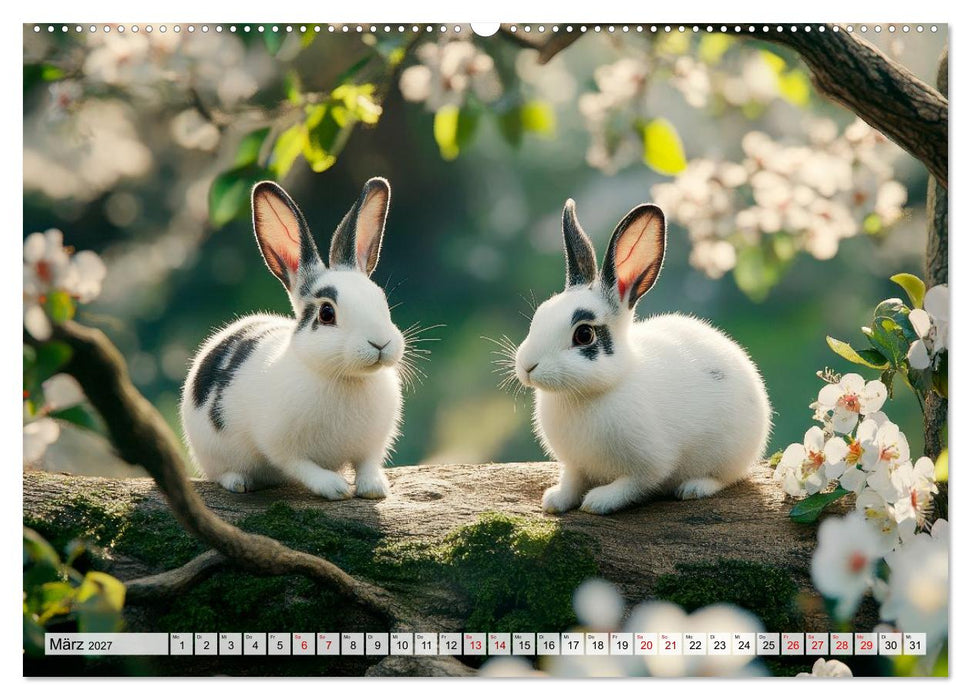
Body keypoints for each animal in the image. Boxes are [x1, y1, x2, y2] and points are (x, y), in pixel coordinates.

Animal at [180, 178, 405, 500]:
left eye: (381, 299)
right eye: (326, 313)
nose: (380, 344)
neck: (345, 378)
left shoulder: (372, 445)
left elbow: (368, 464)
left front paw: (374, 488)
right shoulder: (279, 445)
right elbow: (300, 466)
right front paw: (335, 487)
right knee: (221, 473)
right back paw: (239, 482)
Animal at [513, 198, 772, 515]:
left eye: (584, 335)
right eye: (540, 315)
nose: (527, 366)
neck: (585, 395)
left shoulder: (650, 464)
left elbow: (635, 484)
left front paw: (597, 502)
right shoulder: (575, 465)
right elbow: (572, 481)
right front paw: (555, 501)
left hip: (730, 453)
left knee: (726, 477)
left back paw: (694, 488)